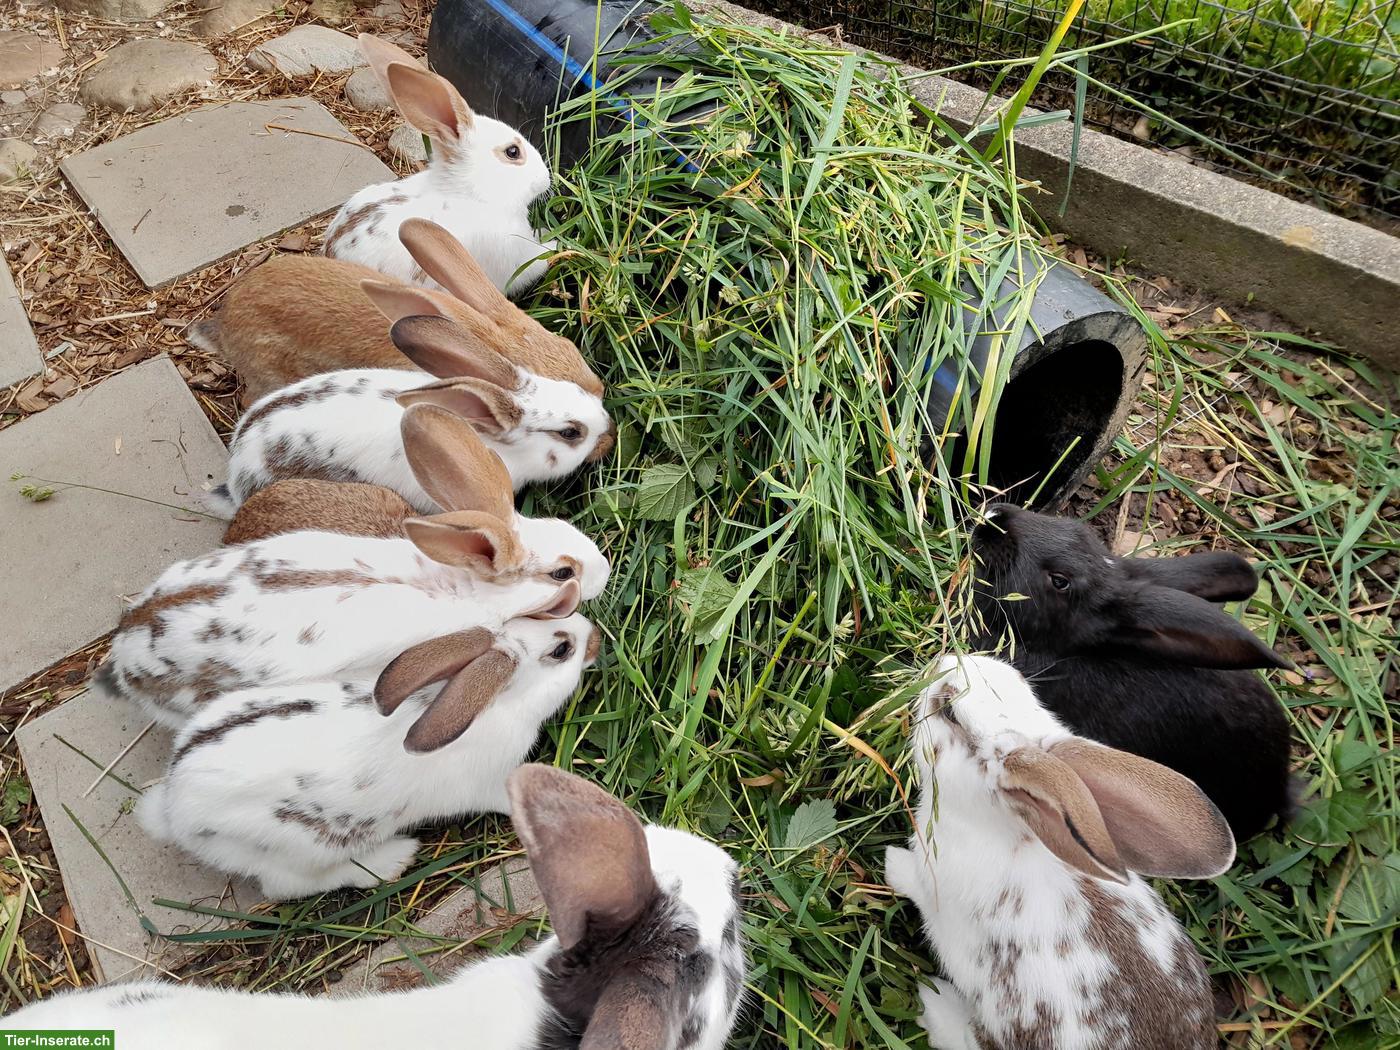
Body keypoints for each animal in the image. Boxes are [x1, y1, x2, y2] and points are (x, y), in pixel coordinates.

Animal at [137, 613, 600, 898]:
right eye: (561, 650)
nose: (595, 634)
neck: (495, 703)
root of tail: (174, 807)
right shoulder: (492, 785)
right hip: (300, 850)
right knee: (289, 887)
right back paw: (394, 859)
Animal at [323, 34, 553, 298]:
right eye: (512, 152)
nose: (547, 178)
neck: (472, 193)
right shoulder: (515, 258)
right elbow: (538, 261)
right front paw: (556, 244)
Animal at [885, 654, 1236, 1050]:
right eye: (1019, 677)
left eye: (950, 711)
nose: (942, 660)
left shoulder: (932, 881)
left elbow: (913, 883)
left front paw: (891, 863)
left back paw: (933, 1003)